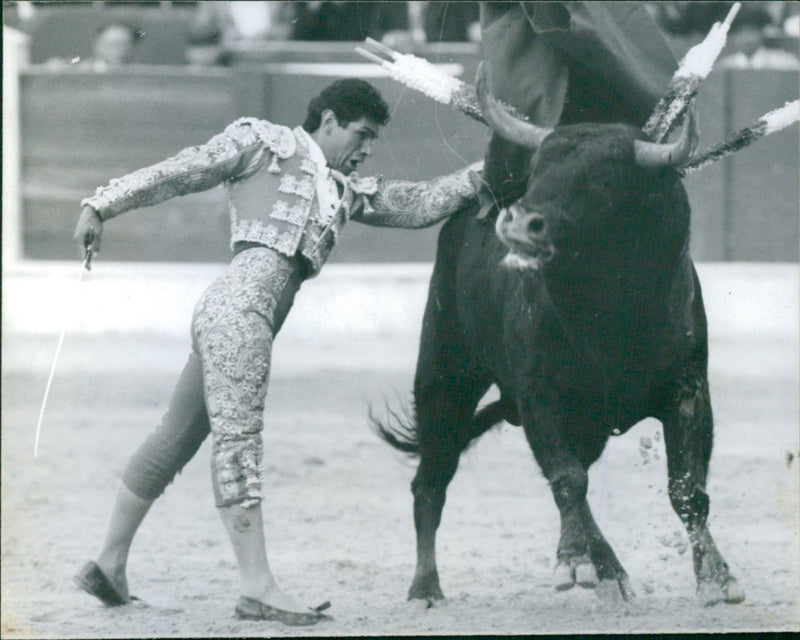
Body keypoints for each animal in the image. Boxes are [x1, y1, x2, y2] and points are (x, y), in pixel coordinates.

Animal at [372, 81, 748, 604]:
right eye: (538, 171)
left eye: (602, 181)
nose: (517, 222)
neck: (612, 314)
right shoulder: (539, 394)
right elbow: (568, 479)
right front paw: (573, 561)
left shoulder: (688, 389)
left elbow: (686, 488)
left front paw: (716, 575)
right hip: (444, 373)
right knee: (433, 480)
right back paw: (426, 585)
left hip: (584, 421)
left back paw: (610, 571)